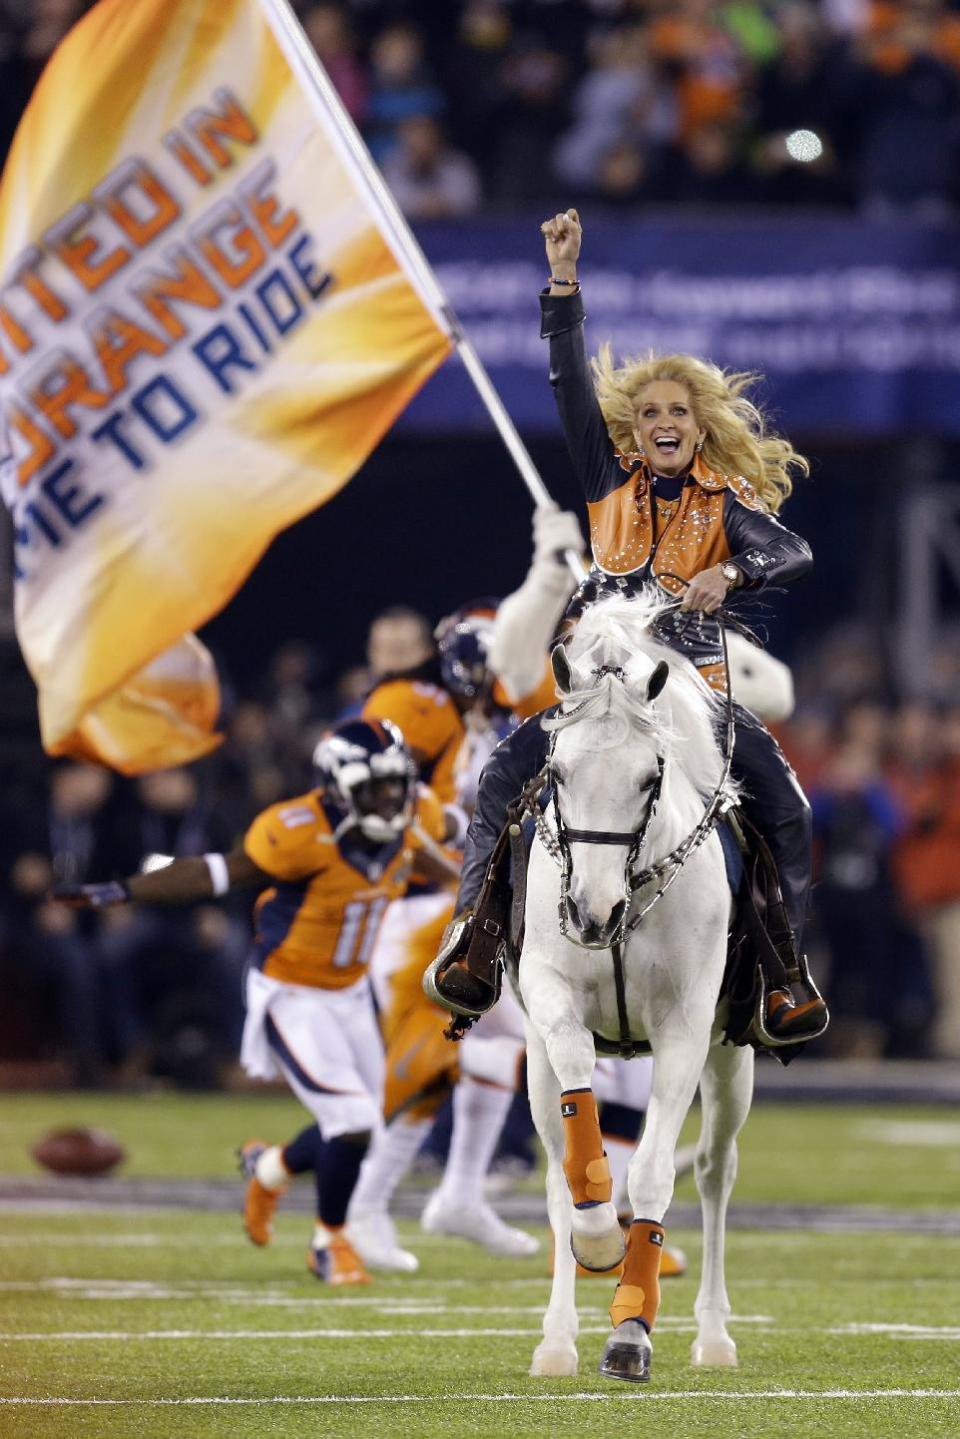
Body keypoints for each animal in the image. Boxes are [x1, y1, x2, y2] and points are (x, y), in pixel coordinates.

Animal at [521, 592, 754, 1381]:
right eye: (557, 773)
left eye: (651, 777)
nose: (594, 913)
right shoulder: (547, 1000)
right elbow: (576, 1133)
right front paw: (597, 1236)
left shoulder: (686, 1029)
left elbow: (655, 1173)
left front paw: (630, 1331)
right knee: (555, 1176)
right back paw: (556, 1339)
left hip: (732, 1058)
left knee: (714, 1172)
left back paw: (713, 1335)